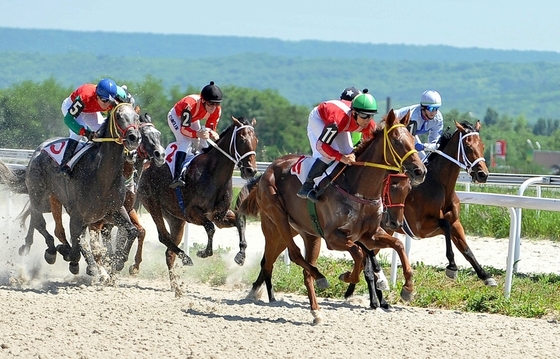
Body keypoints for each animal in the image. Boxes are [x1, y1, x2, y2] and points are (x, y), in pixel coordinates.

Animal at [0, 102, 142, 278]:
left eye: (137, 117)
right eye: (119, 116)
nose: (134, 137)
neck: (102, 175)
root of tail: (38, 150)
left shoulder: (113, 211)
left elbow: (132, 231)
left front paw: (119, 262)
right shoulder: (78, 216)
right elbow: (78, 246)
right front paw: (78, 260)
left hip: (50, 201)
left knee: (36, 218)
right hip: (38, 195)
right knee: (39, 220)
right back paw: (47, 249)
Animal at [48, 112, 165, 278]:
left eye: (158, 134)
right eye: (144, 136)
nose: (160, 155)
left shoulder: (126, 210)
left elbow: (138, 231)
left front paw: (128, 264)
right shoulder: (104, 216)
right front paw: (114, 263)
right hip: (57, 201)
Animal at [137, 115, 260, 296]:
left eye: (256, 140)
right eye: (242, 138)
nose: (251, 170)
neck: (213, 173)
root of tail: (147, 164)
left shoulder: (219, 216)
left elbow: (240, 222)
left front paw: (241, 255)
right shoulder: (192, 212)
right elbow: (210, 228)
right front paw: (204, 252)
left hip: (175, 218)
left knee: (169, 252)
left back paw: (176, 287)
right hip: (152, 204)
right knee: (163, 236)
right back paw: (186, 258)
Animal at [236, 109, 424, 326]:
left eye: (412, 139)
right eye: (396, 141)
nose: (420, 171)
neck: (358, 188)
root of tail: (267, 170)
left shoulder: (369, 235)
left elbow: (397, 245)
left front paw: (408, 289)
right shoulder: (333, 238)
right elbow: (359, 254)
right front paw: (348, 277)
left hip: (303, 233)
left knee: (284, 265)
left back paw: (314, 310)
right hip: (278, 218)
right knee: (294, 254)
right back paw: (319, 277)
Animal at [346, 119, 494, 310]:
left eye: (482, 146)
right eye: (468, 146)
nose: (483, 174)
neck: (438, 185)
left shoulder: (455, 222)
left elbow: (466, 249)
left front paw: (486, 276)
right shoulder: (420, 227)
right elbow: (445, 226)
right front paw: (452, 267)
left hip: (383, 232)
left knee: (367, 257)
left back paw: (376, 298)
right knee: (367, 259)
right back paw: (371, 294)